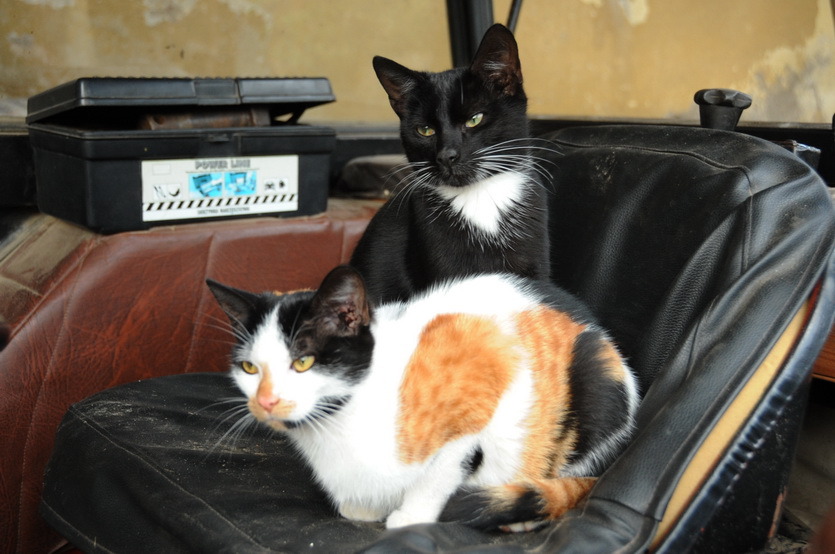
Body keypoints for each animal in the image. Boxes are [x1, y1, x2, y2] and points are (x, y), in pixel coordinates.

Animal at [209, 266, 640, 528]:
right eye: (249, 368)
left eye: (303, 361)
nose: (265, 401)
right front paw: (365, 508)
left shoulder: (489, 368)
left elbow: (443, 470)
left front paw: (410, 516)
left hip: (598, 387)